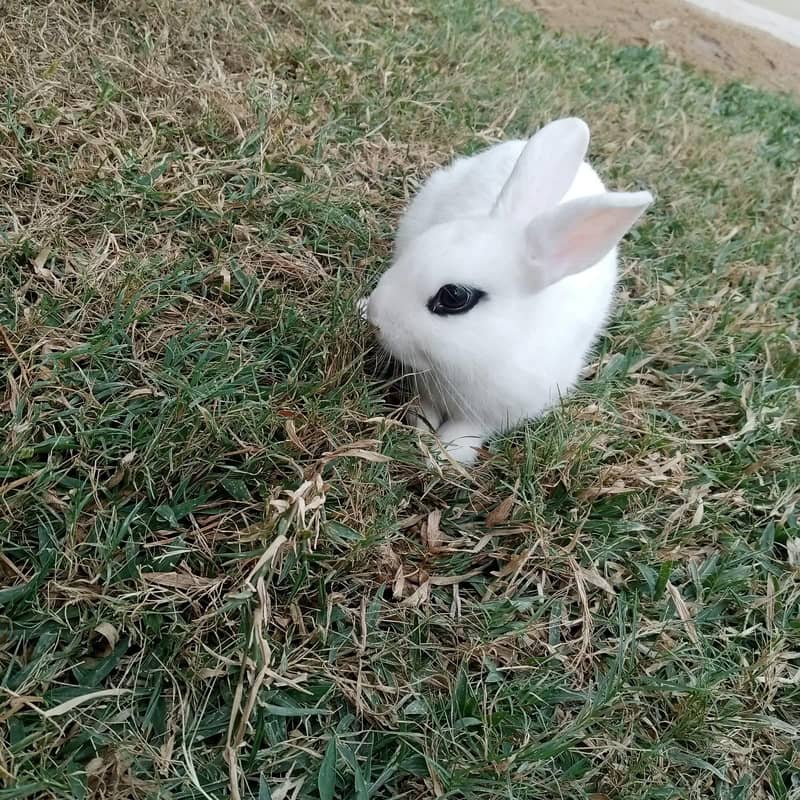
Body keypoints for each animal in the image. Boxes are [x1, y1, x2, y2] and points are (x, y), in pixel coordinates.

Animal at [361, 117, 652, 464]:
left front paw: (447, 453)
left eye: (454, 297)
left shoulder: (498, 412)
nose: (376, 318)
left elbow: (469, 429)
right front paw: (424, 428)